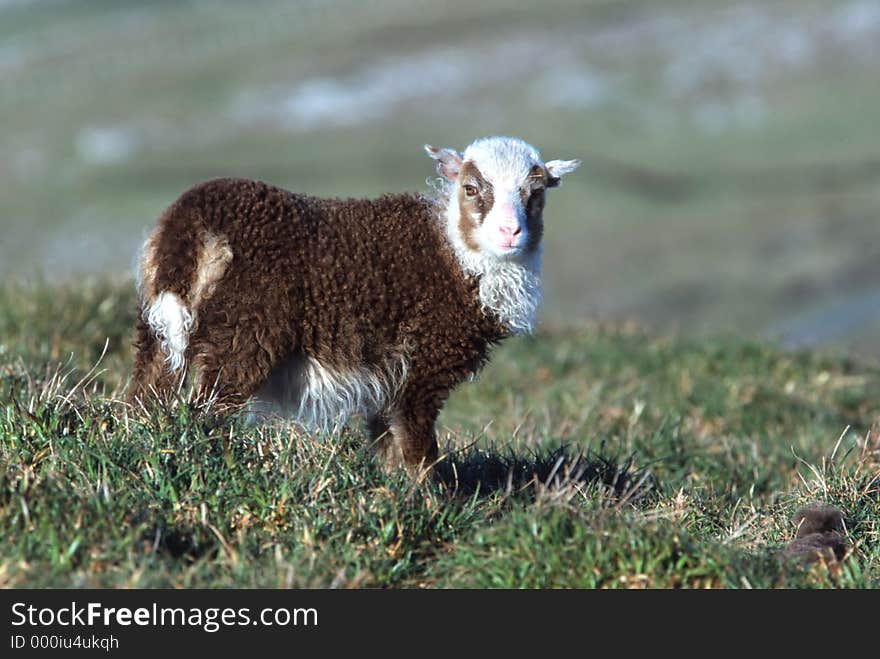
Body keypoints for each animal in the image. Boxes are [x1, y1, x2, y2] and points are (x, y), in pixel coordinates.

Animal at [131, 137, 580, 472]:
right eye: (471, 189)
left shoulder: (388, 379)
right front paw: (430, 500)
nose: (510, 232)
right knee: (208, 410)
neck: (455, 253)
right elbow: (417, 447)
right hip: (244, 333)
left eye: (535, 194)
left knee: (148, 392)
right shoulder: (422, 366)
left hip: (158, 323)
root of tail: (190, 222)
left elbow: (387, 442)